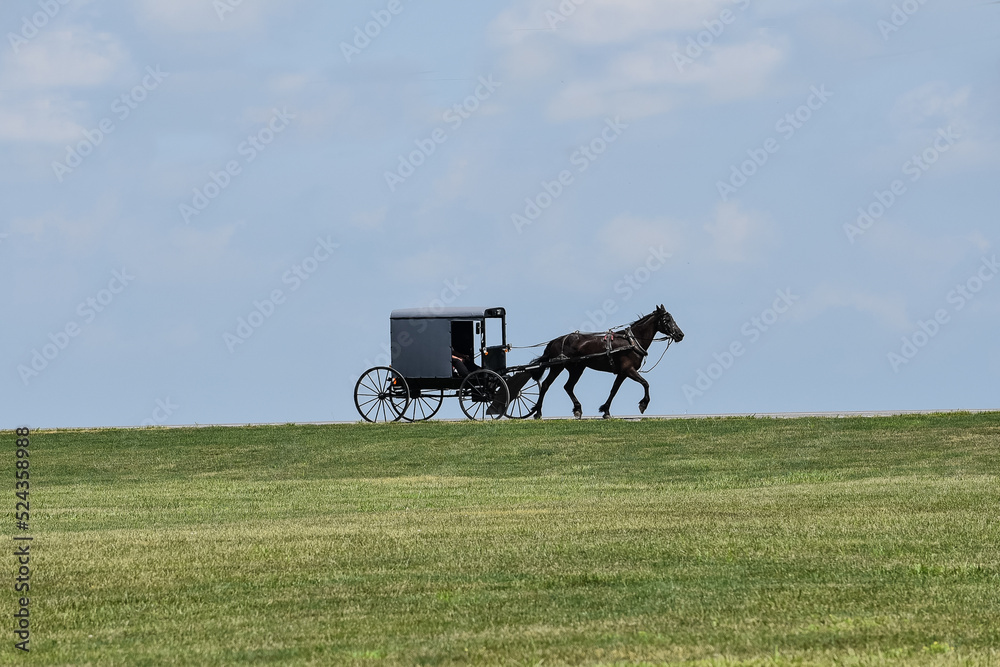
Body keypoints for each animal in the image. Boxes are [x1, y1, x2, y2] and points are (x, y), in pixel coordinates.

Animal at [524, 306, 680, 420]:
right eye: (667, 319)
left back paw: (577, 409)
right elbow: (645, 383)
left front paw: (606, 410)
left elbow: (614, 390)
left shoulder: (623, 373)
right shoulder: (629, 370)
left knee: (568, 387)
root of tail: (556, 340)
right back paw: (538, 412)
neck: (631, 341)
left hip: (577, 368)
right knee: (545, 385)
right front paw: (643, 404)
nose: (680, 334)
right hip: (557, 366)